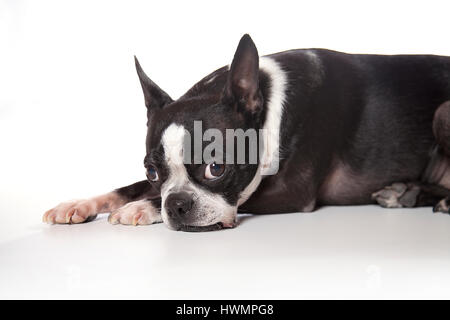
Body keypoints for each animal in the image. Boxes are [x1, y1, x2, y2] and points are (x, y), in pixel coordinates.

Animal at [43, 34, 450, 230]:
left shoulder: (293, 191)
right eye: (153, 171)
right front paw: (77, 204)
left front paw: (143, 208)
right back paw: (405, 193)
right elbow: (127, 187)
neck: (268, 108)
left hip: (443, 112)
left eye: (216, 168)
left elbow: (241, 198)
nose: (176, 204)